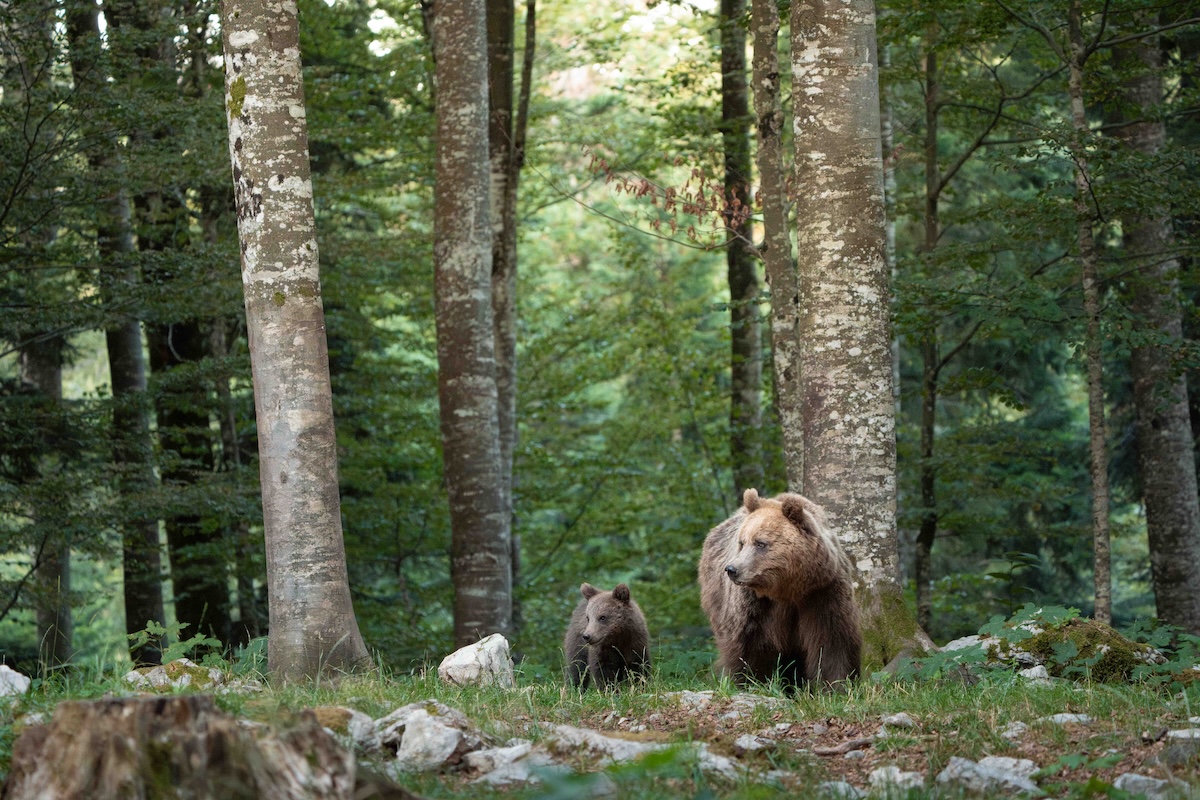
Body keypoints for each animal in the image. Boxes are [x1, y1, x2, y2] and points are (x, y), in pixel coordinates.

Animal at [698, 488, 861, 689]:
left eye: (760, 543)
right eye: (742, 543)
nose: (732, 569)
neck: (788, 589)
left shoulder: (822, 593)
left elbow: (831, 642)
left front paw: (834, 685)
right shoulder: (755, 606)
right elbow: (749, 645)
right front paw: (750, 681)